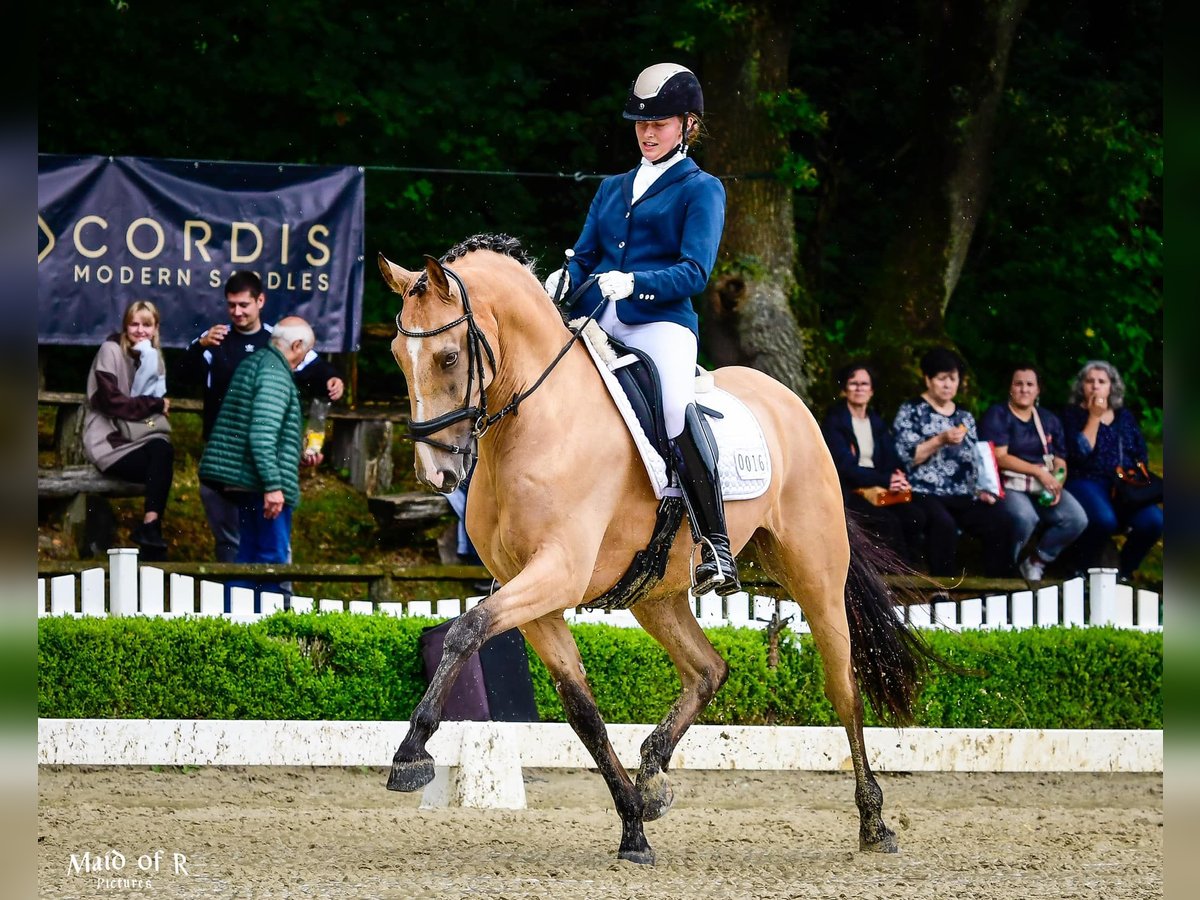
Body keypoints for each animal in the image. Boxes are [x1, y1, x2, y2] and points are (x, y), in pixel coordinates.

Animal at [379, 232, 931, 868]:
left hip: (815, 575)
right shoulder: (533, 592)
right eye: (398, 355)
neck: (537, 418)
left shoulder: (558, 572)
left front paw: (411, 752)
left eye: (448, 357)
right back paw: (652, 779)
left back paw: (874, 822)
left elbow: (467, 630)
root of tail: (789, 402)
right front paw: (632, 826)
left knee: (843, 688)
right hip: (656, 593)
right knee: (709, 669)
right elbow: (581, 709)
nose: (437, 472)